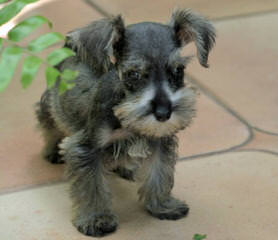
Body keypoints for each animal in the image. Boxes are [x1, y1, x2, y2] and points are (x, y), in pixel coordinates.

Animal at [35, 8, 216, 236]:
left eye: (178, 70)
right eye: (134, 73)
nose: (163, 113)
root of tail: (70, 49)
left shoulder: (160, 142)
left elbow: (159, 173)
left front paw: (162, 205)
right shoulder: (86, 148)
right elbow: (92, 186)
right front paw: (97, 218)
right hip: (51, 105)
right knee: (49, 124)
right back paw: (51, 151)